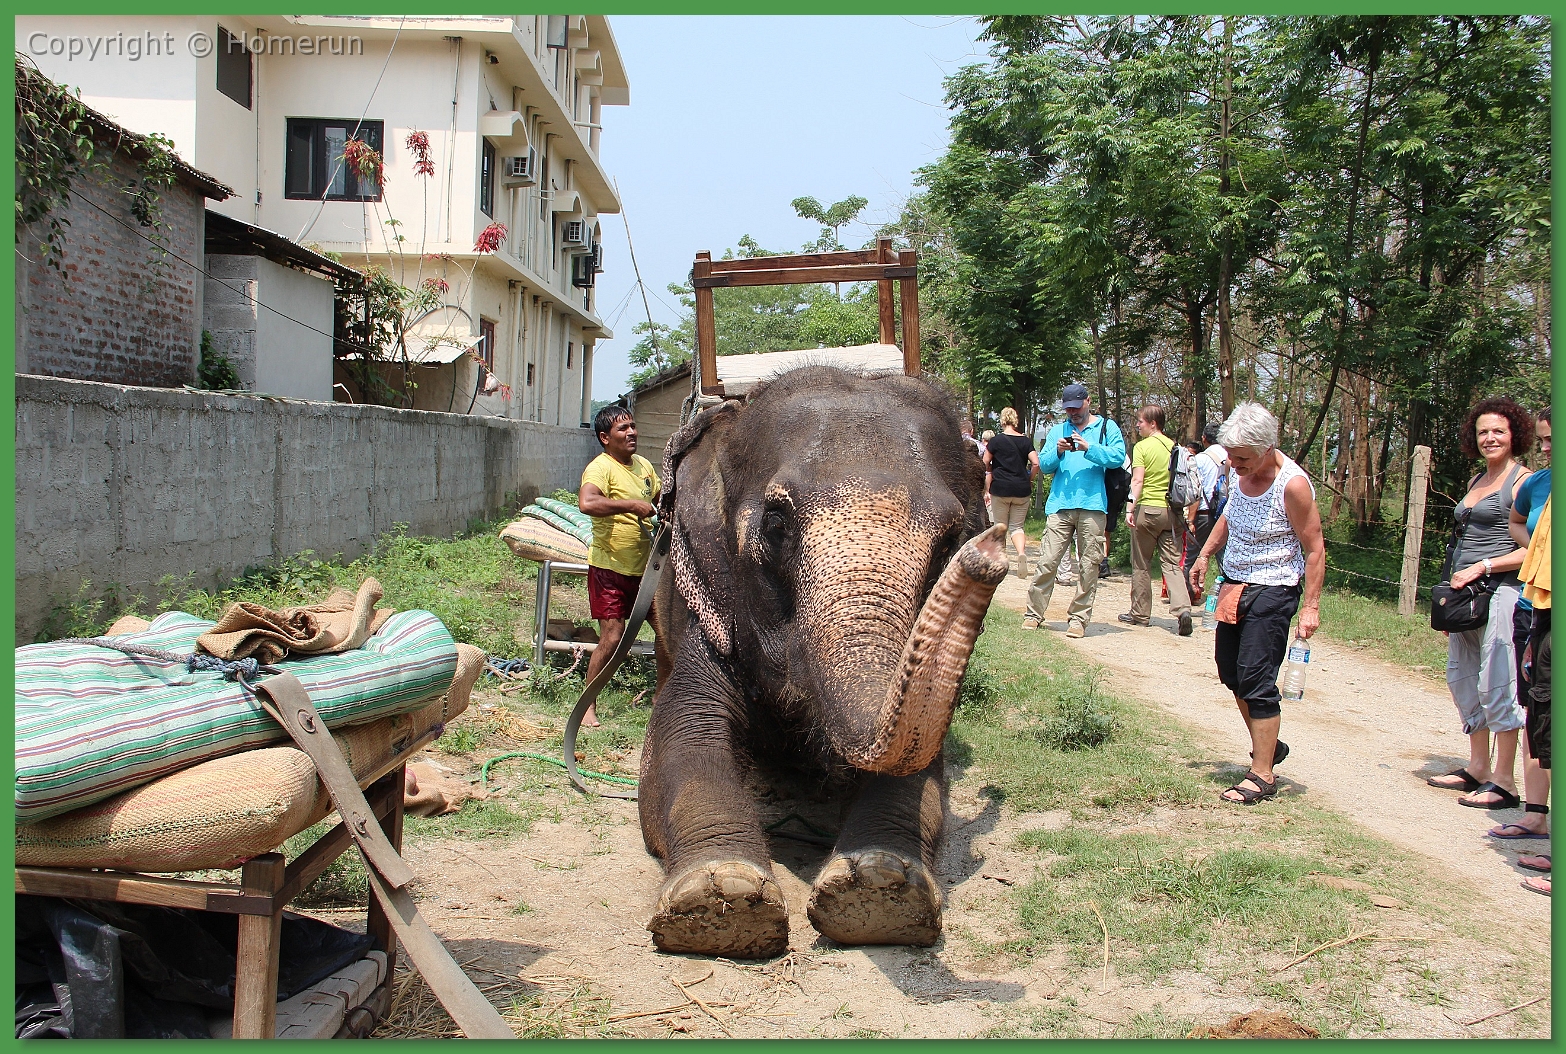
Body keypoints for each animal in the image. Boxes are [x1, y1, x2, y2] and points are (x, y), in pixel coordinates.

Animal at [639, 364, 1008, 959]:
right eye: (775, 524)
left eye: (953, 536)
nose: (992, 548)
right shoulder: (710, 613)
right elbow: (684, 738)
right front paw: (720, 900)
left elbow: (921, 769)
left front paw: (880, 892)